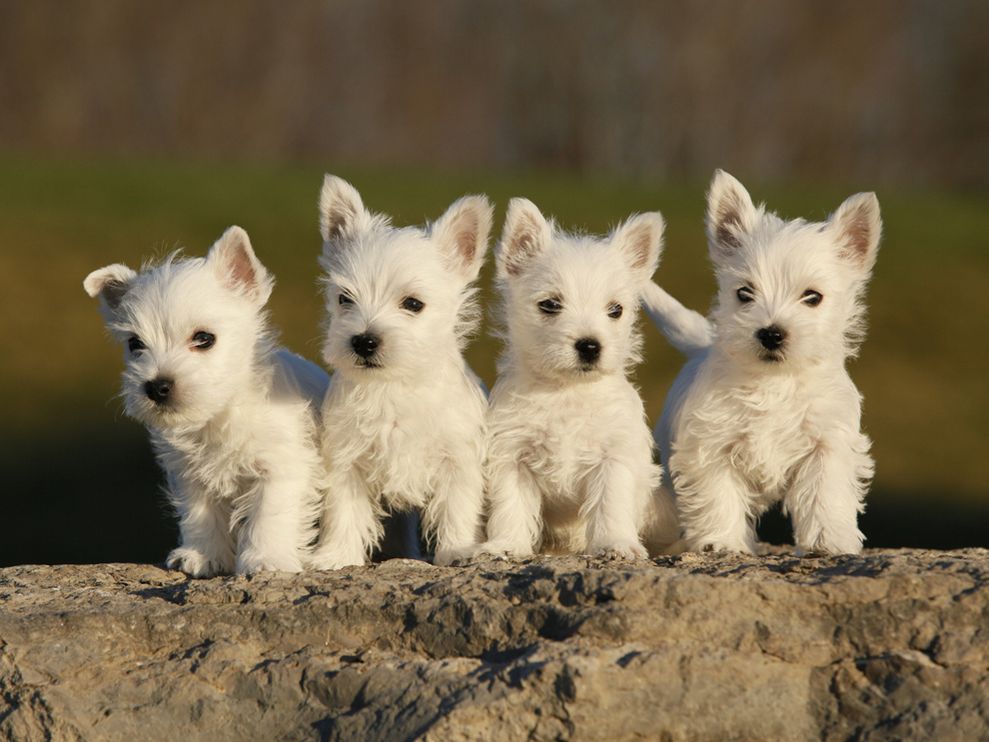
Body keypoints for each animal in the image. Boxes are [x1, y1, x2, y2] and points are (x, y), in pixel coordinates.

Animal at [83, 230, 326, 580]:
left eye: (204, 338)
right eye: (135, 344)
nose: (156, 387)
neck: (220, 413)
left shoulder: (281, 466)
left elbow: (270, 514)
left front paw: (266, 560)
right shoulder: (191, 475)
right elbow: (201, 515)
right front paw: (203, 556)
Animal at [310, 174, 492, 568]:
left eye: (413, 304)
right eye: (344, 298)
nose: (364, 341)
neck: (393, 386)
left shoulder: (457, 461)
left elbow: (458, 509)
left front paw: (458, 550)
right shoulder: (347, 462)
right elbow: (344, 512)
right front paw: (336, 556)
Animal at [478, 198, 680, 560]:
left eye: (615, 310)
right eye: (549, 304)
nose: (589, 346)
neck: (567, 391)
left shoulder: (613, 457)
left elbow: (610, 504)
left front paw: (615, 544)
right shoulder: (513, 458)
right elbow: (511, 506)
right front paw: (506, 546)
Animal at [640, 171, 880, 560]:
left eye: (813, 297)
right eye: (744, 293)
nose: (771, 333)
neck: (774, 382)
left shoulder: (826, 444)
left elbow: (825, 494)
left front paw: (829, 540)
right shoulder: (712, 446)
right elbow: (718, 496)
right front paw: (722, 541)